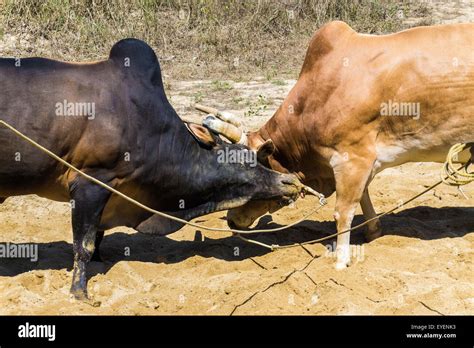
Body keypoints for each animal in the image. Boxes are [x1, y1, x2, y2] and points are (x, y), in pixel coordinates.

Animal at [0, 38, 304, 300]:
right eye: (244, 160)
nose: (289, 181)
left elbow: (97, 236)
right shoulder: (91, 183)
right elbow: (83, 245)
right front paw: (80, 293)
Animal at [207, 21, 474, 270]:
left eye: (247, 181)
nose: (231, 221)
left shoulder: (351, 157)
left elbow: (343, 211)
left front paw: (341, 260)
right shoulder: (362, 161)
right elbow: (363, 196)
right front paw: (373, 231)